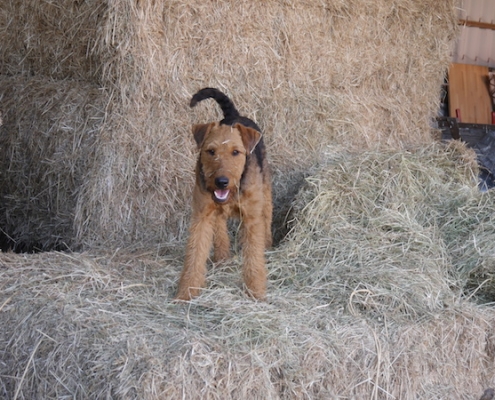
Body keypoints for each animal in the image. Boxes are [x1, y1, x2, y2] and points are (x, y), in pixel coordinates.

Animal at [176, 87, 274, 300]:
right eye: (210, 151)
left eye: (236, 152)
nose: (221, 181)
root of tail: (233, 115)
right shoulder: (202, 215)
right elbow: (195, 255)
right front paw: (187, 291)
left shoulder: (251, 218)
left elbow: (253, 256)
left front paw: (255, 291)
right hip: (215, 212)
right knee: (220, 231)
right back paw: (222, 258)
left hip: (265, 192)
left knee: (267, 219)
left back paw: (268, 246)